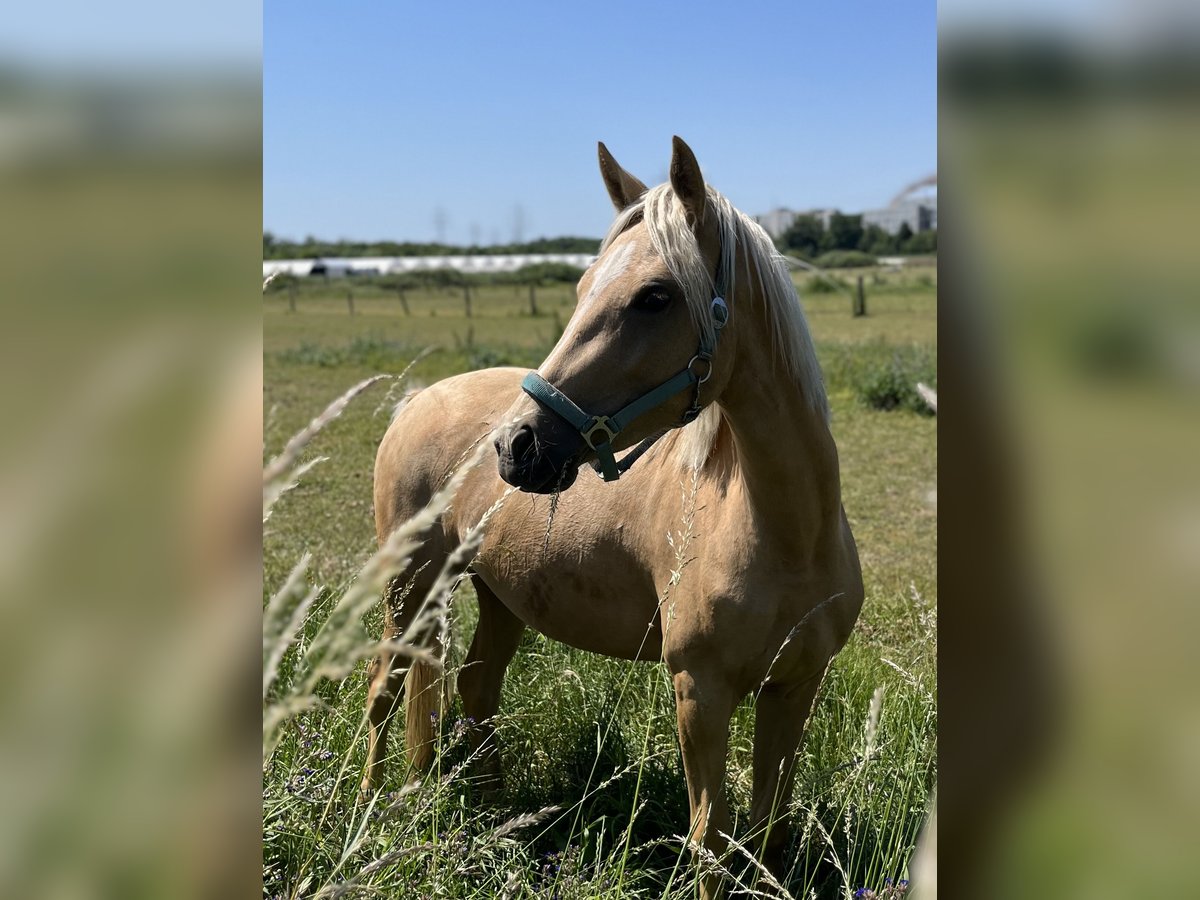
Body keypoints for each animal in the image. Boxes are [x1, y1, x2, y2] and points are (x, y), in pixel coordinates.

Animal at [357, 137, 864, 897]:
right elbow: (709, 842)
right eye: (582, 288)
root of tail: (418, 399)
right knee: (385, 692)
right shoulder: (699, 692)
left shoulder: (795, 686)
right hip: (408, 588)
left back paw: (493, 817)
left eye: (655, 297)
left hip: (500, 595)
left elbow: (768, 830)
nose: (516, 446)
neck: (785, 534)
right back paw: (364, 816)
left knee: (476, 686)